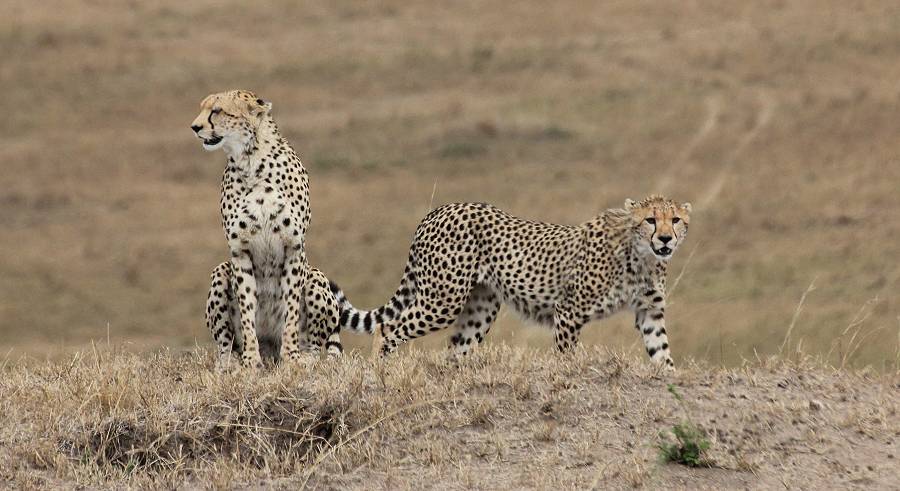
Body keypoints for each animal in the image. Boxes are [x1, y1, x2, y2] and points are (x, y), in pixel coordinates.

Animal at [190, 91, 330, 368]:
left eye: (217, 111)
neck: (251, 161)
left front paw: (292, 357)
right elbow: (247, 307)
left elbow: (290, 307)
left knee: (315, 343)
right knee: (225, 343)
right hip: (221, 271)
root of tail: (270, 349)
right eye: (202, 108)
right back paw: (230, 364)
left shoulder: (294, 247)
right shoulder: (239, 250)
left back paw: (305, 357)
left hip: (316, 276)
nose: (195, 127)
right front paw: (251, 361)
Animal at [330, 196, 688, 368]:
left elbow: (662, 353)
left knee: (457, 349)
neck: (641, 254)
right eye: (651, 220)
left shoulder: (649, 312)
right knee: (386, 327)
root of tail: (438, 210)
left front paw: (669, 377)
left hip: (481, 306)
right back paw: (379, 370)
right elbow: (566, 356)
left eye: (676, 219)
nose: (666, 239)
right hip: (443, 300)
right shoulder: (568, 311)